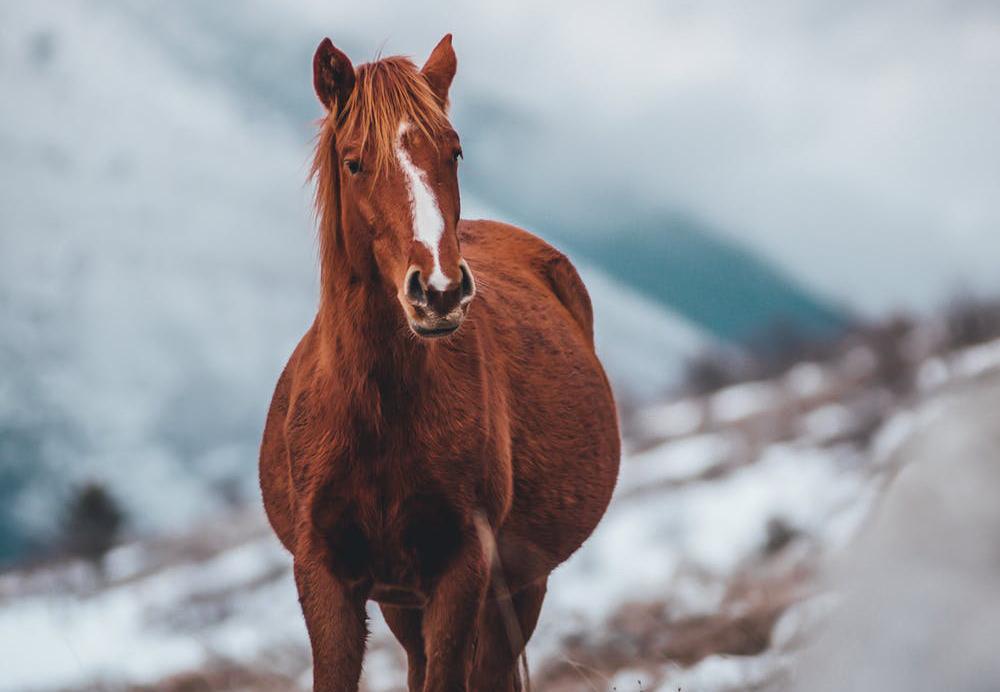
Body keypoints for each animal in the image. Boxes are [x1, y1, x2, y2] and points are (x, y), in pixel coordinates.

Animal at [259, 34, 620, 692]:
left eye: (454, 152)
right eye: (354, 161)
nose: (440, 291)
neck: (378, 411)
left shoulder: (463, 572)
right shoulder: (326, 578)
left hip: (519, 585)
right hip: (402, 602)